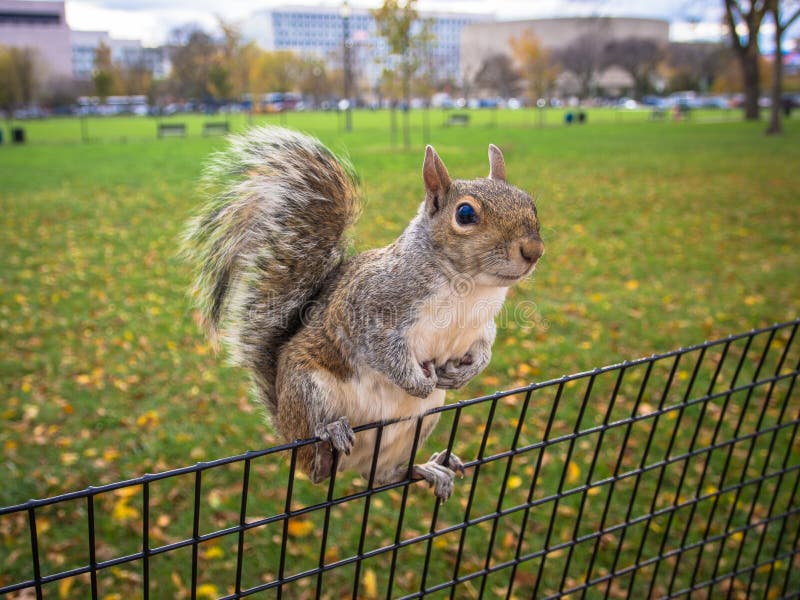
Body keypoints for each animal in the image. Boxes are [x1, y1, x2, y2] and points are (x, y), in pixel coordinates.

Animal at [183, 126, 543, 500]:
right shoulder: (370, 310)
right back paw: (327, 441)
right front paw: (417, 382)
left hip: (420, 423)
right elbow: (384, 353)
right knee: (314, 466)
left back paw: (428, 469)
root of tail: (285, 424)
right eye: (466, 215)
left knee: (384, 476)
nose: (533, 250)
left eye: (529, 203)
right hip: (308, 389)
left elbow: (485, 347)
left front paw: (467, 373)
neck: (470, 288)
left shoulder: (482, 325)